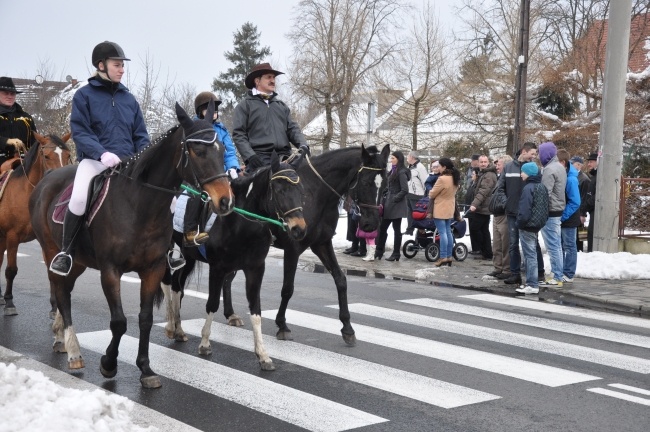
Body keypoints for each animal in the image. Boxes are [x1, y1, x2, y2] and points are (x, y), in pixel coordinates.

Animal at [0, 133, 72, 316]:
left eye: (67, 155)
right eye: (46, 156)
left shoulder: (45, 238)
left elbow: (50, 271)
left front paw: (54, 306)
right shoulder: (12, 236)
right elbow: (11, 270)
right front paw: (9, 302)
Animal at [161, 152, 306, 372]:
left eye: (301, 190)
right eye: (280, 190)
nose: (300, 229)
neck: (241, 225)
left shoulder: (255, 269)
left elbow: (255, 309)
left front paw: (263, 355)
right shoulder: (218, 268)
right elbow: (212, 303)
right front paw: (205, 344)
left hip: (189, 258)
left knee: (177, 286)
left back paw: (178, 330)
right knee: (167, 284)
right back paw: (170, 326)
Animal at [218, 144, 390, 344]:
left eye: (385, 186)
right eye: (366, 183)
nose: (371, 225)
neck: (316, 194)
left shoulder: (322, 244)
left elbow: (340, 280)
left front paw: (347, 328)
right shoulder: (293, 248)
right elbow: (288, 288)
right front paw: (282, 325)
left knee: (227, 277)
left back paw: (230, 314)